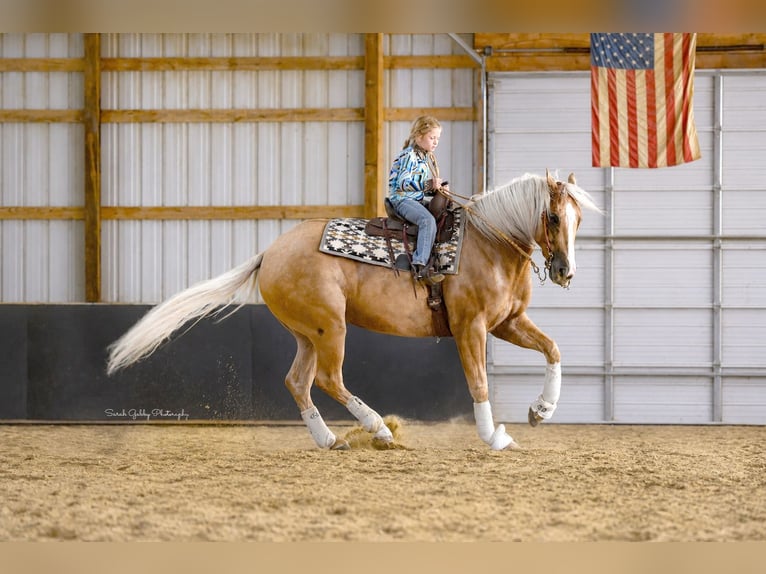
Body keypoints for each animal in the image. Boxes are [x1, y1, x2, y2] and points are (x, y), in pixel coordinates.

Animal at [107, 170, 601, 451]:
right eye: (553, 217)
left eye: (578, 220)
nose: (565, 271)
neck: (488, 242)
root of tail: (269, 253)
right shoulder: (471, 328)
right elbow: (478, 383)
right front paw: (493, 436)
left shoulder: (507, 323)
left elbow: (553, 350)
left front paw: (541, 411)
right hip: (331, 328)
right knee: (328, 379)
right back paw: (379, 430)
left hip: (308, 334)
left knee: (298, 382)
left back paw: (329, 440)